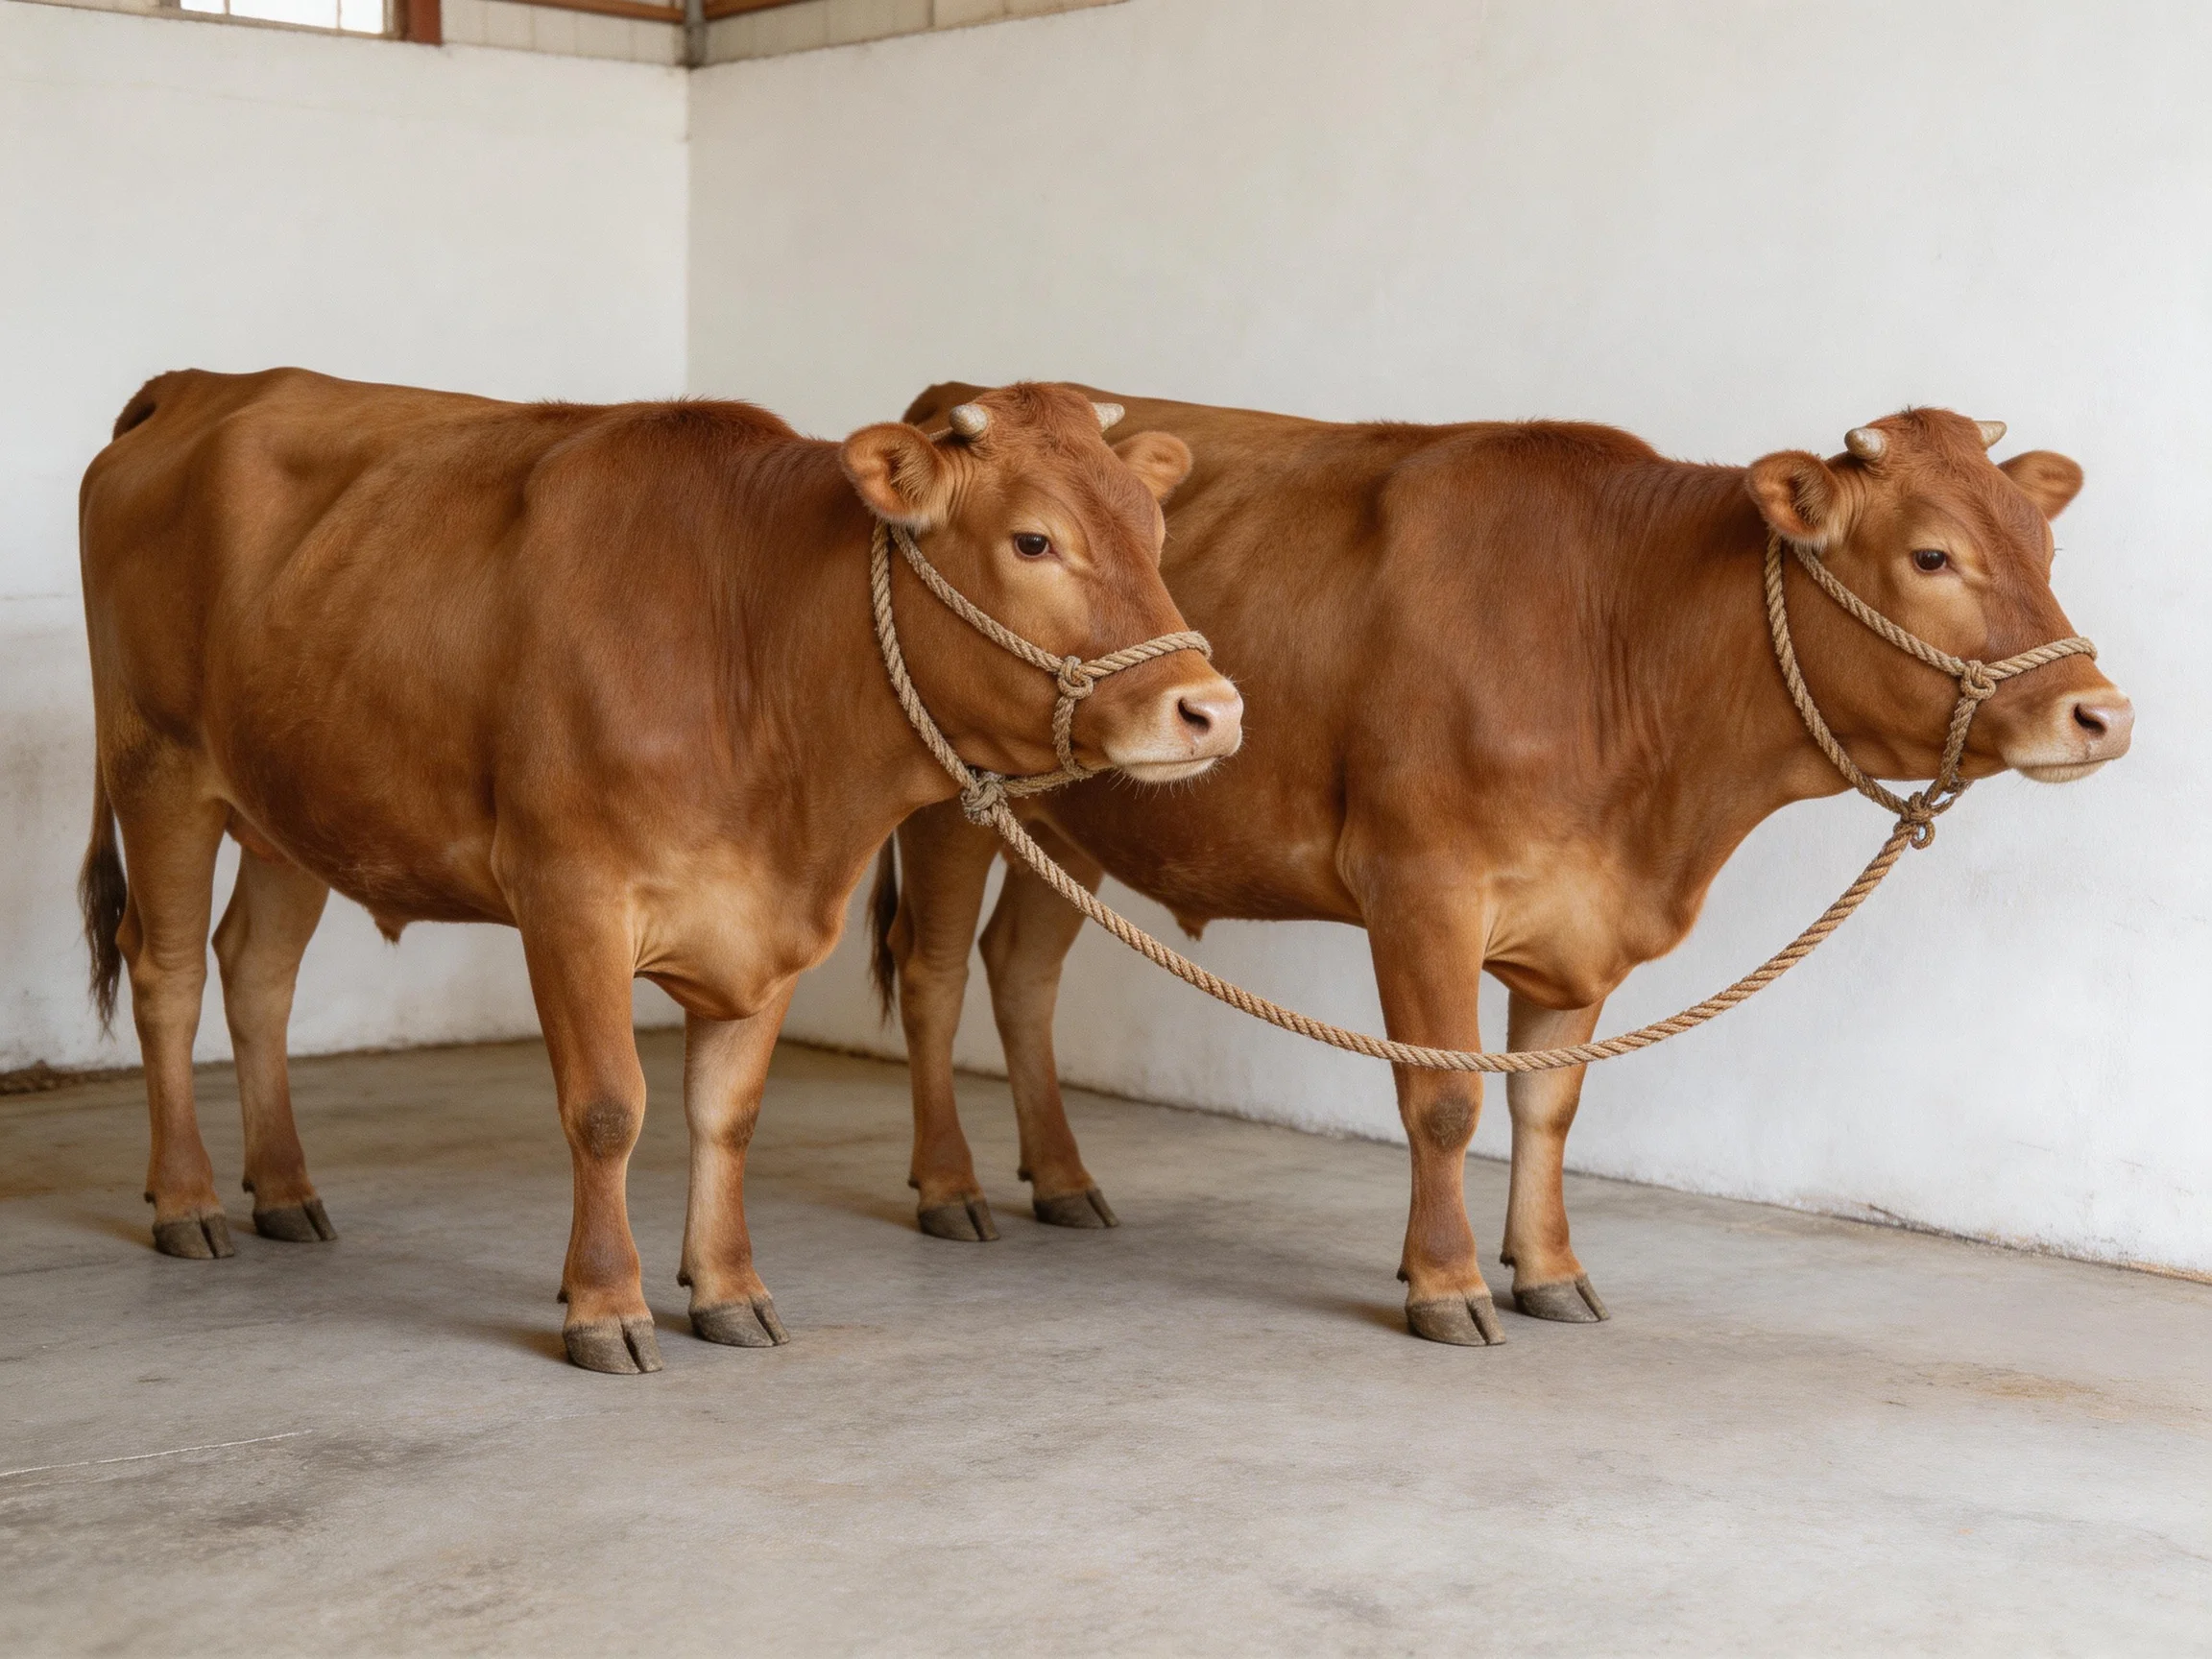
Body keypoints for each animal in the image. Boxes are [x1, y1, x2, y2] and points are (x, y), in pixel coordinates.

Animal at [76, 368, 1242, 1373]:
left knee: (256, 971)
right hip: (159, 770)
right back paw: (188, 1202)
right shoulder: (569, 893)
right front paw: (605, 1305)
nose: (1212, 708)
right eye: (1033, 539)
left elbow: (727, 1114)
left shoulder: (773, 917)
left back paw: (282, 1191)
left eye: (1154, 534)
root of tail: (205, 385)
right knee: (169, 975)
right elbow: (608, 1108)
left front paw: (728, 1290)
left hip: (290, 805)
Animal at [873, 385, 2132, 1346]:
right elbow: (1444, 1099)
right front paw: (1448, 1282)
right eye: (1932, 555)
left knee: (1021, 969)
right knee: (934, 971)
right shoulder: (1420, 887)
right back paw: (951, 1187)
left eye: (2047, 547)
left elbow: (1549, 1103)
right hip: (949, 796)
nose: (2102, 715)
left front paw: (1551, 1270)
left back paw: (1065, 1180)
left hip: (1068, 828)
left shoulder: (1581, 918)